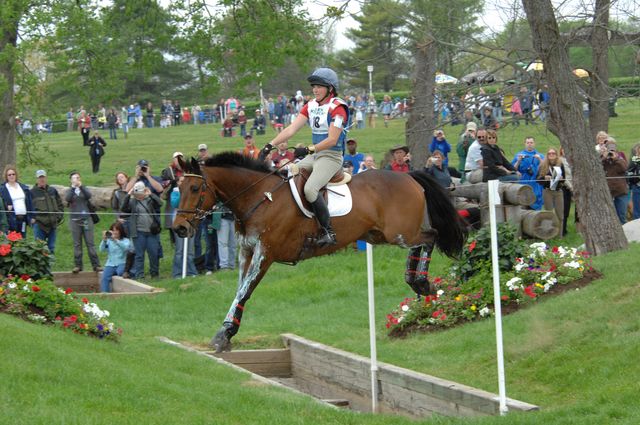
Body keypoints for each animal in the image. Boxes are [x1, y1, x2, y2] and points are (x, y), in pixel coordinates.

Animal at [175, 152, 464, 352]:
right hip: (379, 234)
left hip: (399, 232)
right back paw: (416, 282)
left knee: (429, 237)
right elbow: (239, 291)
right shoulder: (246, 252)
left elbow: (245, 291)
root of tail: (408, 175)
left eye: (195, 188)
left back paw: (420, 282)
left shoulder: (265, 254)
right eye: (178, 188)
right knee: (422, 241)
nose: (179, 228)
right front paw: (227, 332)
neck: (260, 197)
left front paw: (224, 334)